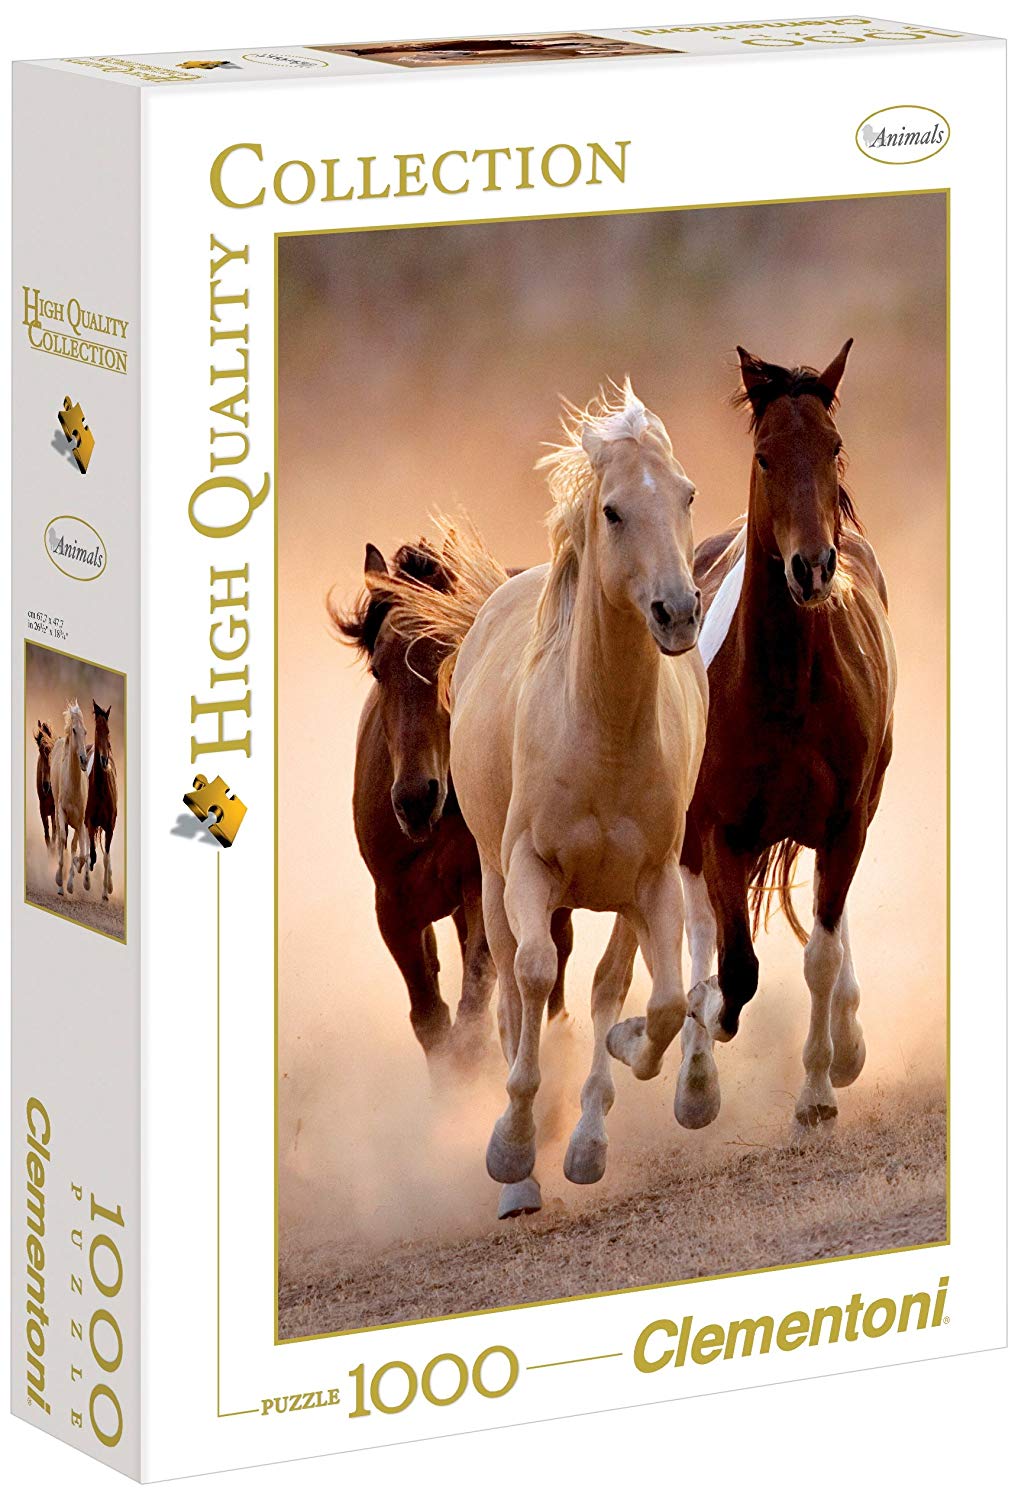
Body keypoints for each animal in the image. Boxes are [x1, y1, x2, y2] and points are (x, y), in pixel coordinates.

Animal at [332, 538, 574, 1075]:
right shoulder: (394, 907)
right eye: (379, 669)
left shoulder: (481, 887)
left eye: (451, 655)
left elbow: (471, 1012)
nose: (415, 800)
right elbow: (431, 1019)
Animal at [388, 384, 707, 1214]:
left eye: (687, 494)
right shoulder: (527, 872)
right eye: (614, 511)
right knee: (511, 992)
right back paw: (522, 1172)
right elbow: (532, 979)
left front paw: (606, 1106)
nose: (679, 613)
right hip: (494, 886)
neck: (600, 732)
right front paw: (512, 1149)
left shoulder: (653, 882)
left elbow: (655, 1001)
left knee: (608, 987)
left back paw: (588, 1132)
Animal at [610, 341, 896, 1138]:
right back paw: (694, 1076)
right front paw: (691, 1038)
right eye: (765, 456)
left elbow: (819, 955)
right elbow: (733, 968)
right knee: (704, 930)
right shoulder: (718, 830)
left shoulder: (845, 823)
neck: (785, 687)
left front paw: (819, 1091)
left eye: (833, 447)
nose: (813, 567)